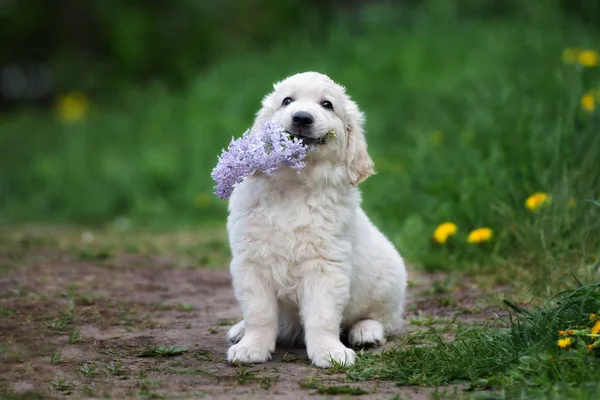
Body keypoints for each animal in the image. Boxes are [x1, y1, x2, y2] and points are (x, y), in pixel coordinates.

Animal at [225, 70, 408, 368]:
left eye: (327, 105)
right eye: (287, 101)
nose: (301, 118)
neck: (295, 183)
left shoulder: (325, 266)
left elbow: (322, 317)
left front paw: (330, 352)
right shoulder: (251, 262)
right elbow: (259, 314)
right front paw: (251, 347)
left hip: (389, 283)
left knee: (382, 320)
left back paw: (366, 332)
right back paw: (239, 331)